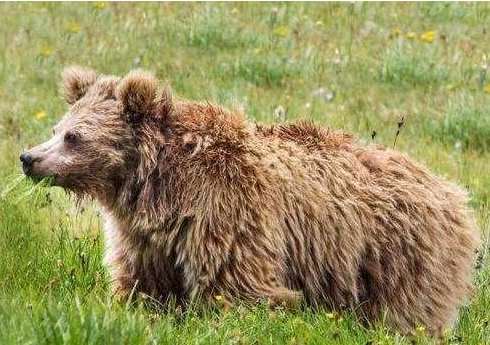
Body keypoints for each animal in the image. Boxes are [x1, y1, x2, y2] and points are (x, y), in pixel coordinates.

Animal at [22, 66, 478, 334]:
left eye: (73, 136)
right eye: (57, 128)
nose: (29, 158)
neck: (156, 184)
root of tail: (452, 191)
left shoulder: (224, 209)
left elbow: (238, 285)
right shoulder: (145, 234)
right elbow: (143, 282)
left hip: (400, 252)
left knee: (407, 311)